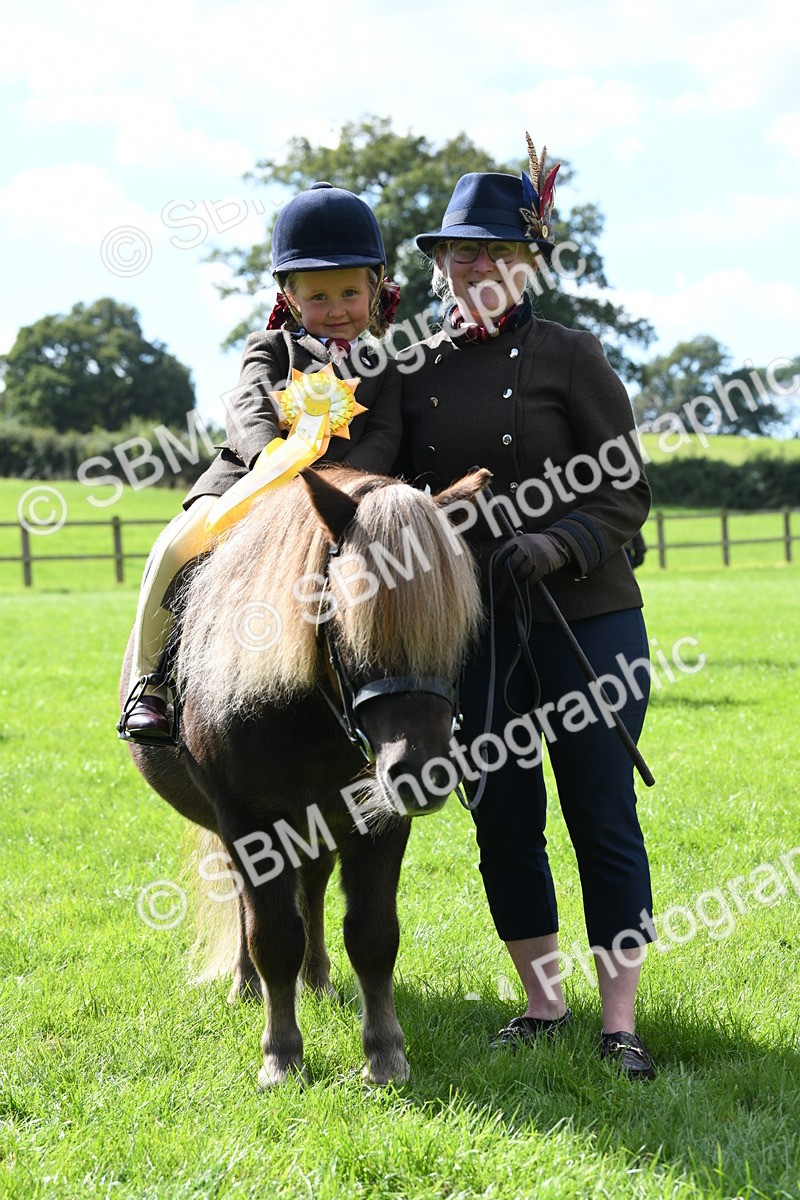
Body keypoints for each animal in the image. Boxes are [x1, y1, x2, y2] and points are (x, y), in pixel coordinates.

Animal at [121, 465, 489, 1087]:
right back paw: (248, 985)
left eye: (457, 627)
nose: (423, 772)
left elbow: (373, 934)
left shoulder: (377, 821)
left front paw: (384, 1052)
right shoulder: (248, 820)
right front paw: (281, 1053)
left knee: (312, 885)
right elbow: (271, 935)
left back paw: (316, 977)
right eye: (348, 617)